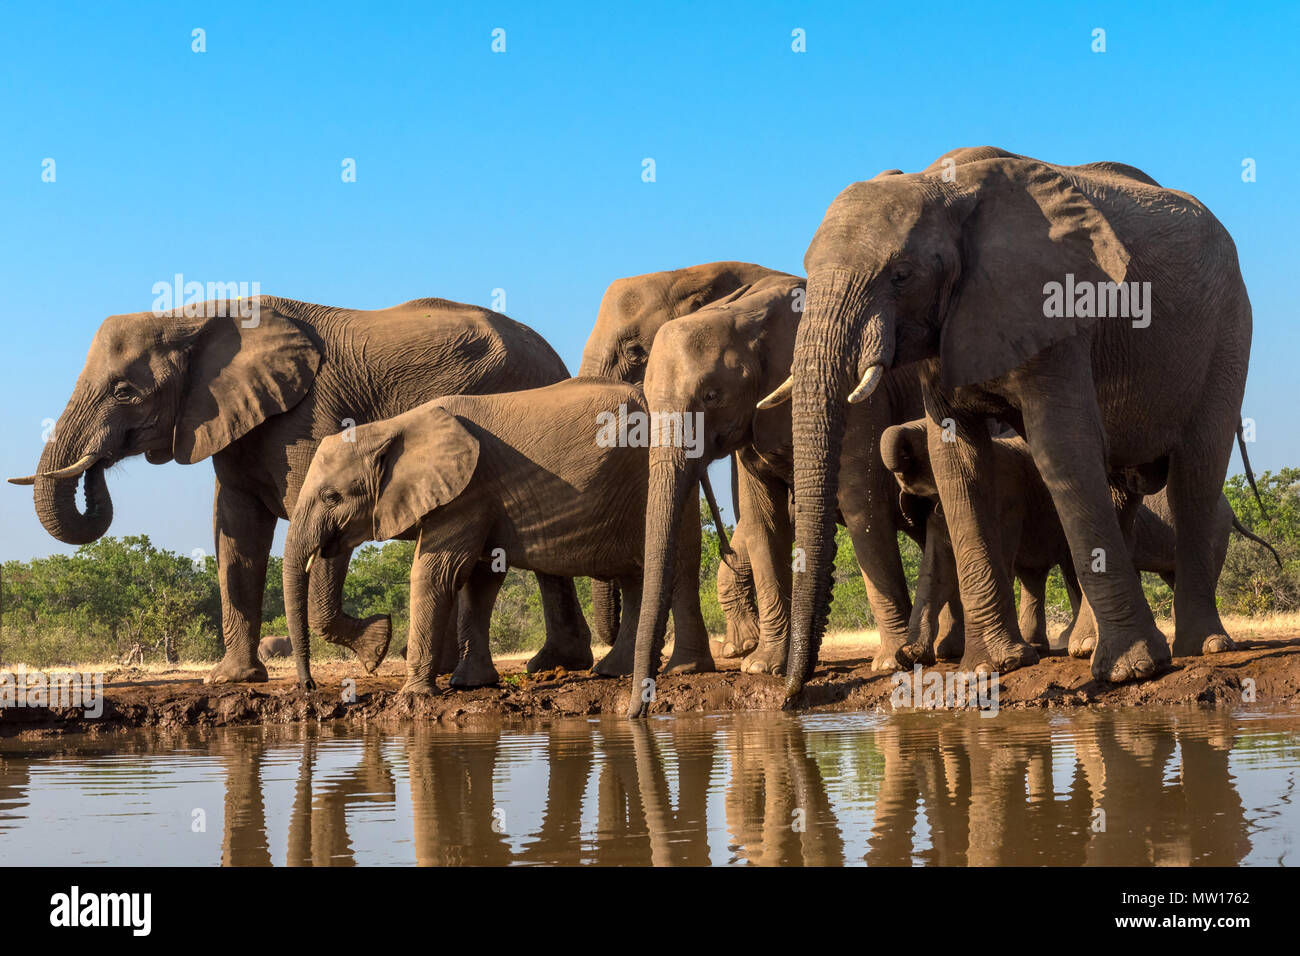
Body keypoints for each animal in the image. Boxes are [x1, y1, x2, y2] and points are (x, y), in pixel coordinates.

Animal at [10, 295, 595, 686]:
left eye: (125, 391)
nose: (98, 465)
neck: (198, 315)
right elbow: (236, 536)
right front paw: (232, 680)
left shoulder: (311, 417)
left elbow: (318, 529)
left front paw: (374, 648)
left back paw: (543, 667)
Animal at [283, 374, 702, 697]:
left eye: (331, 497)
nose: (309, 687)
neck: (393, 427)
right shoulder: (480, 498)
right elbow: (480, 579)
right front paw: (470, 685)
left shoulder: (467, 493)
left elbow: (437, 573)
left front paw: (415, 696)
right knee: (636, 577)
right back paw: (614, 671)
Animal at [764, 145, 1253, 691]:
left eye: (902, 275)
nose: (791, 694)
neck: (945, 187)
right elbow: (957, 461)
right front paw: (989, 668)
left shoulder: (1055, 306)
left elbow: (1061, 443)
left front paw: (1131, 672)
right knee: (1121, 488)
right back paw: (1087, 647)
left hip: (1228, 329)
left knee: (1196, 473)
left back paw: (1202, 646)